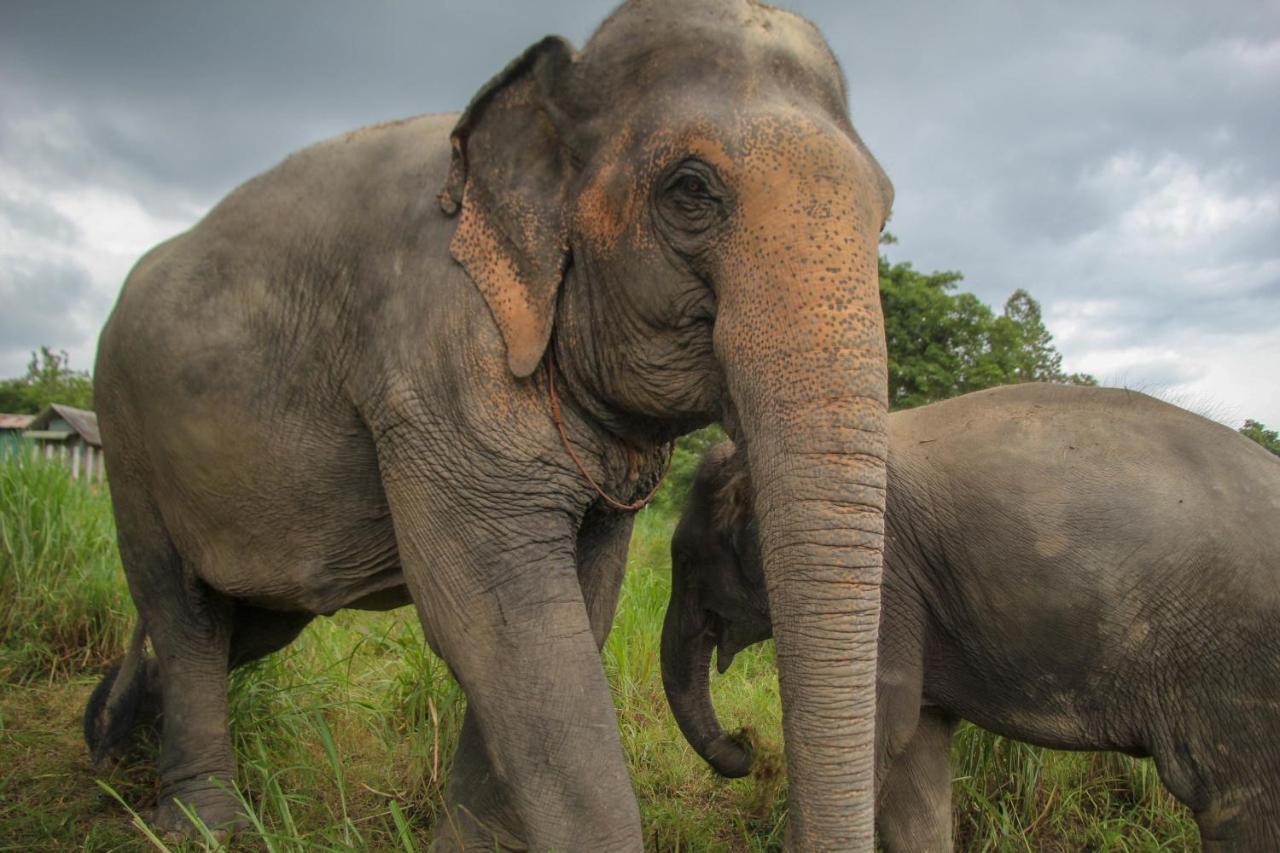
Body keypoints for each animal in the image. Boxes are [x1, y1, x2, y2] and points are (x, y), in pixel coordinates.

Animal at [85, 0, 896, 845]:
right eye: (690, 189)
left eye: (884, 216)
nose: (748, 743)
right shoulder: (436, 358)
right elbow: (503, 623)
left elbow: (579, 608)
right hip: (126, 431)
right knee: (182, 608)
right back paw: (199, 824)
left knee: (247, 618)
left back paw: (108, 737)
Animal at [660, 381, 1280, 845]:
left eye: (686, 559)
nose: (743, 746)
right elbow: (916, 748)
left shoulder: (884, 575)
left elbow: (883, 727)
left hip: (1236, 668)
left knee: (1238, 806)